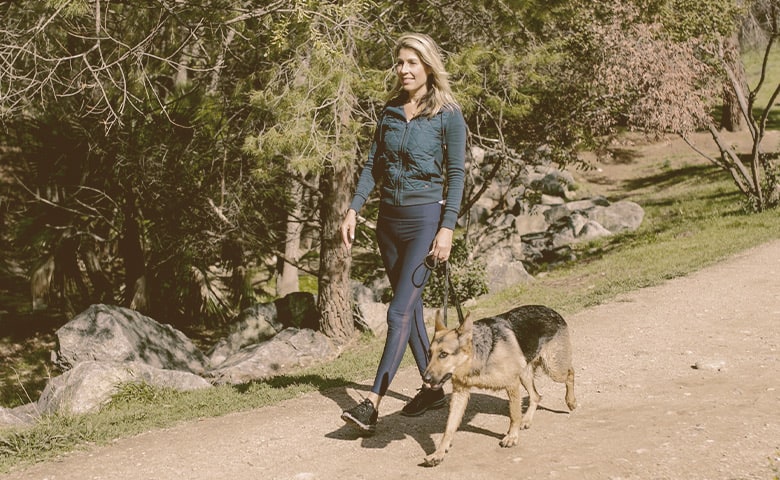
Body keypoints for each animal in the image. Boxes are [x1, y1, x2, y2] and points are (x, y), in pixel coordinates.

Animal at [420, 306, 580, 466]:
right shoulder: (460, 394)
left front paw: (512, 437)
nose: (425, 379)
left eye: (443, 354)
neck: (479, 356)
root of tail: (550, 310)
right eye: (429, 354)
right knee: (536, 396)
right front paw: (439, 453)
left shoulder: (512, 384)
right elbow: (449, 427)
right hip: (525, 374)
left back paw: (571, 401)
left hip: (553, 368)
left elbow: (514, 415)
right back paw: (527, 420)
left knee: (570, 373)